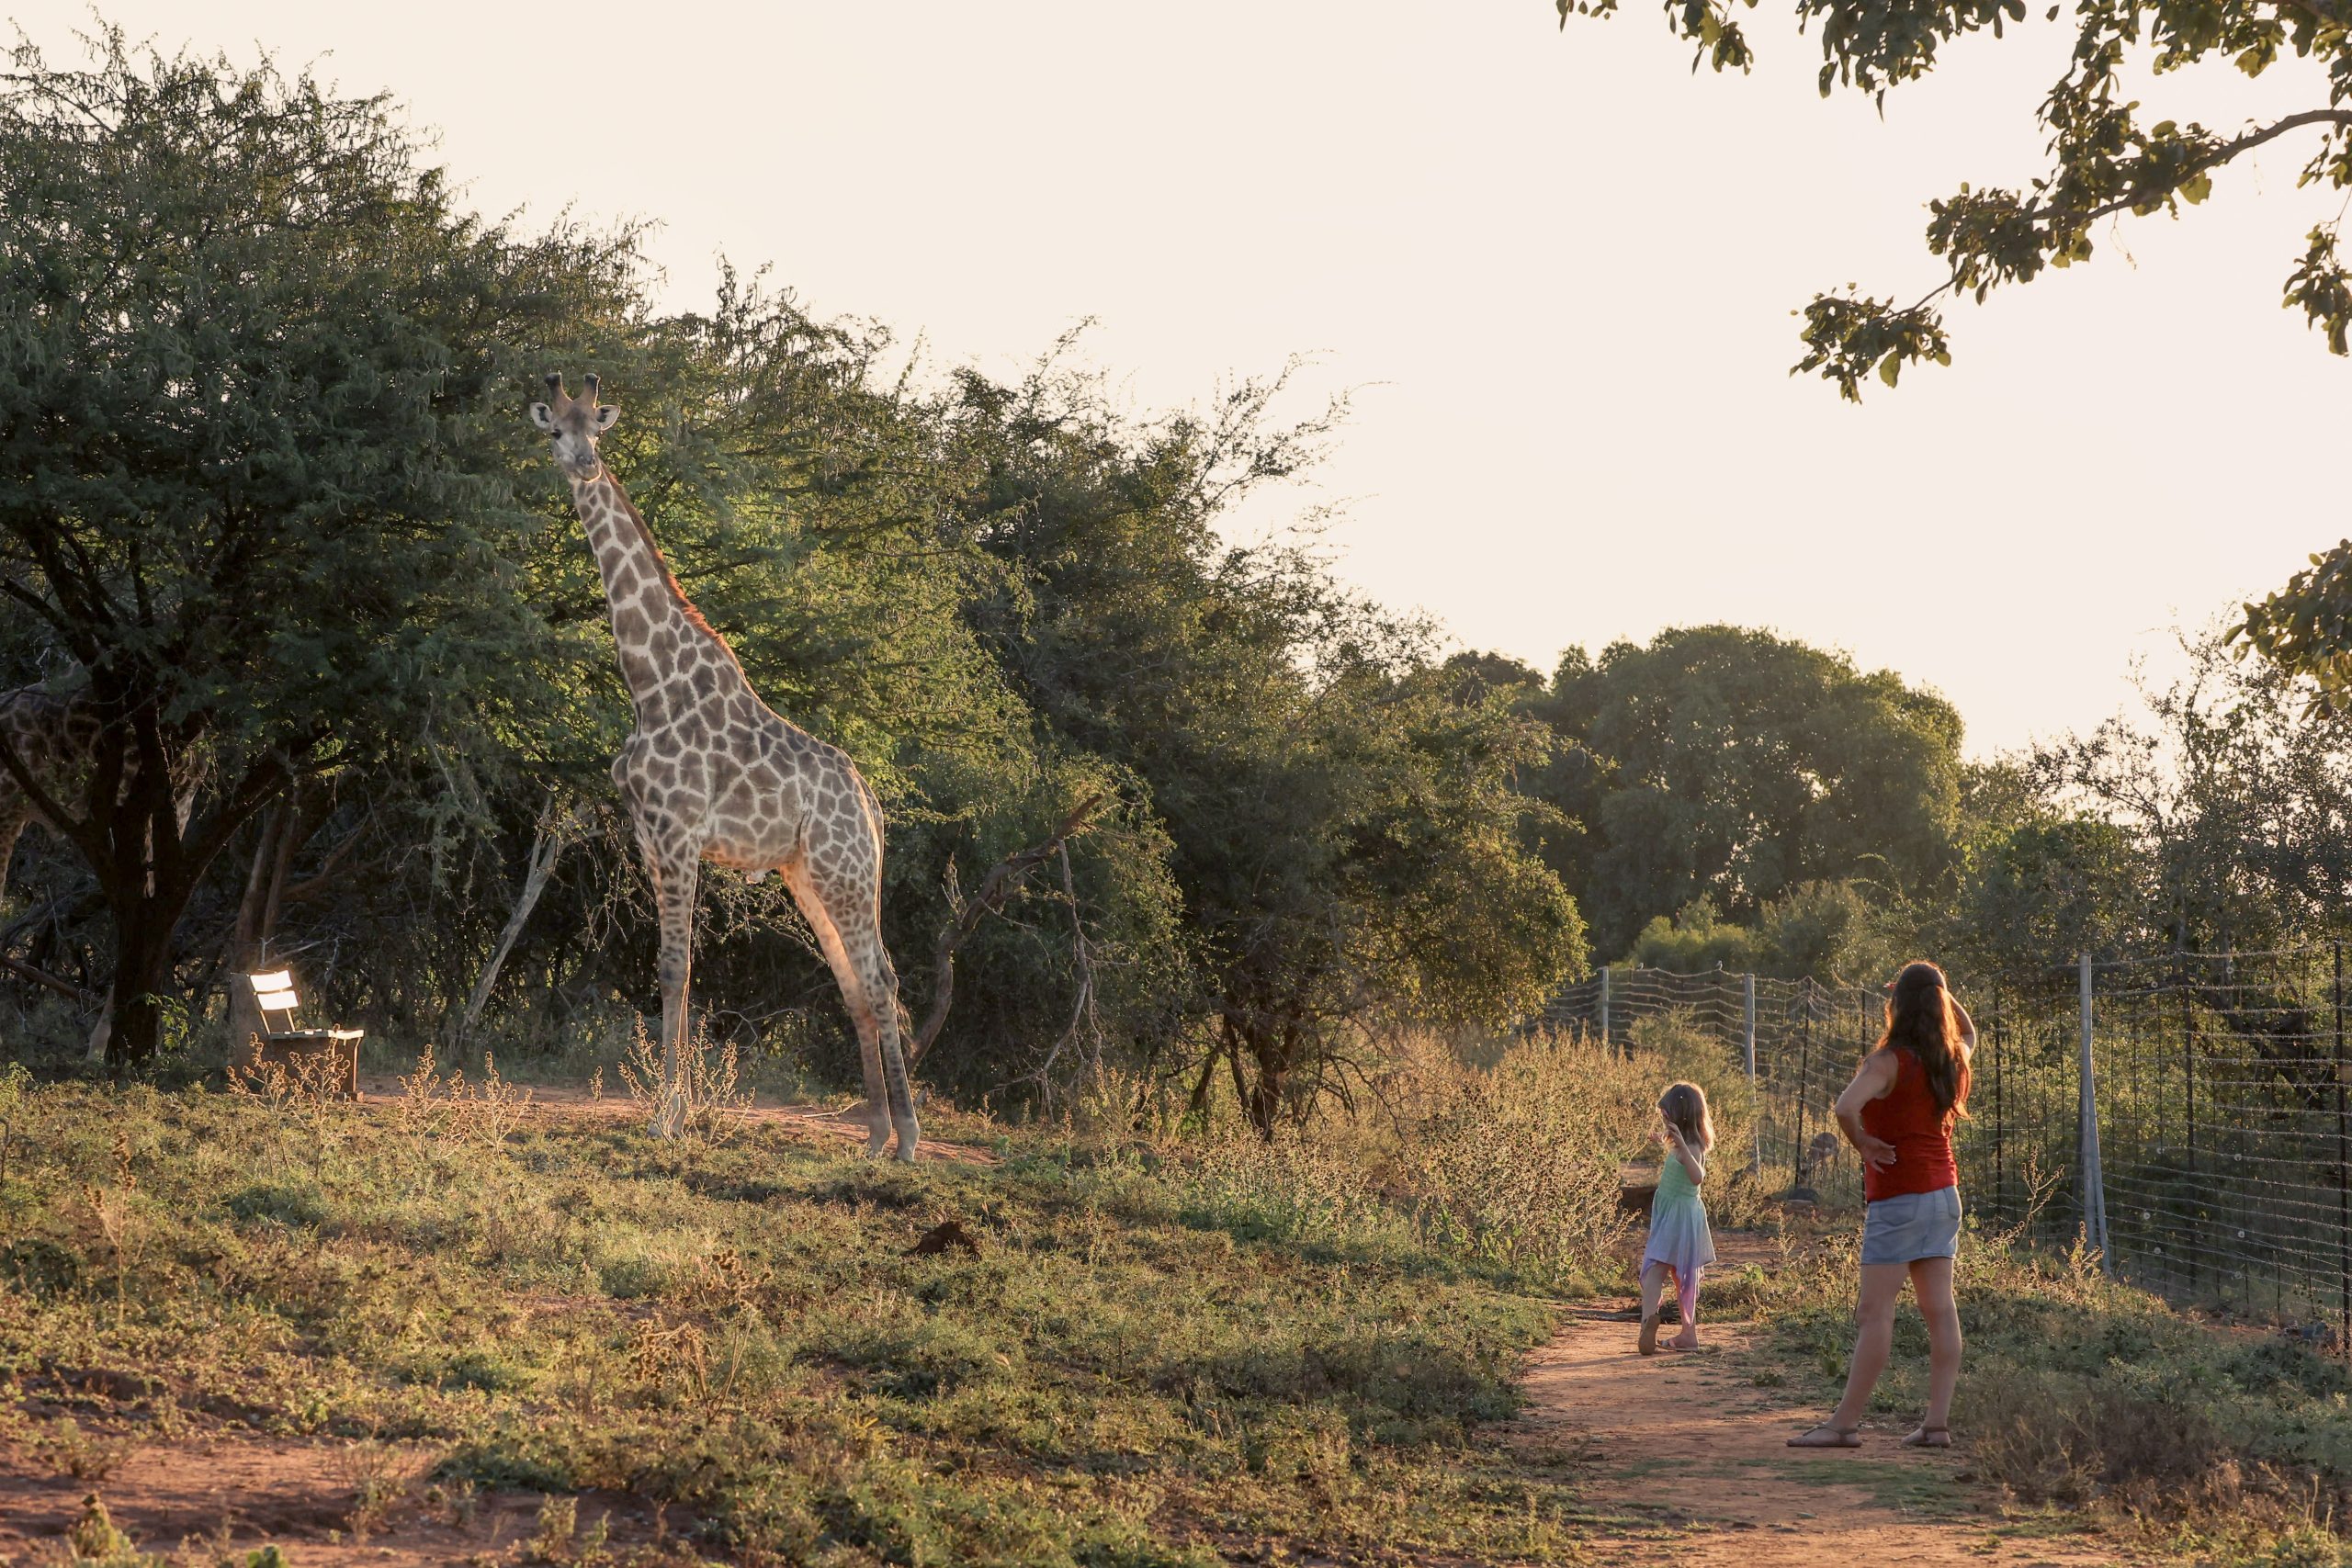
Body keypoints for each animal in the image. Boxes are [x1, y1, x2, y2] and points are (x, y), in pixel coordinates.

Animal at [530, 373, 921, 1158]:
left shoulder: (680, 835)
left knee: (883, 979)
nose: (583, 465)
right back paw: (872, 1136)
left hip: (846, 872)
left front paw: (666, 1117)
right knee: (855, 985)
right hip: (809, 875)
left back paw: (909, 1138)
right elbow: (668, 969)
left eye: (596, 428)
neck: (649, 683)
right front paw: (673, 1112)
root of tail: (871, 804)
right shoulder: (650, 837)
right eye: (555, 429)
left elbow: (677, 969)